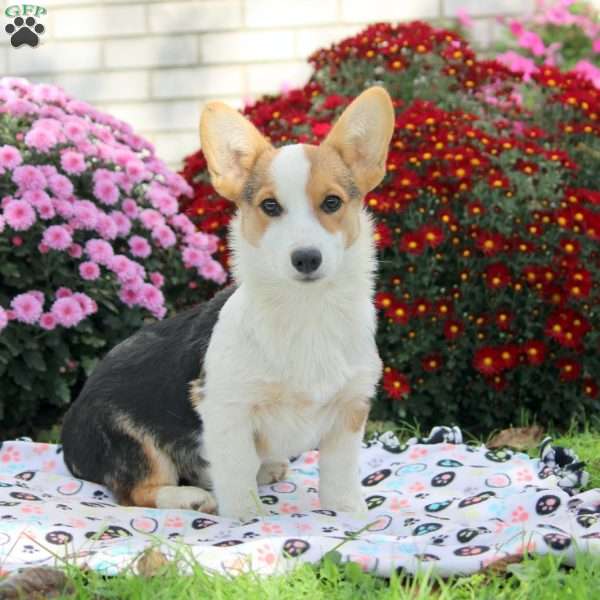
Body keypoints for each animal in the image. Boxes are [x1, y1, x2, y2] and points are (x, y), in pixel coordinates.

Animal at [62, 85, 394, 520]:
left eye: (332, 203)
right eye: (270, 206)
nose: (306, 258)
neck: (306, 310)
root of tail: (68, 436)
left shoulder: (349, 409)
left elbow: (339, 478)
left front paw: (348, 514)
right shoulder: (227, 409)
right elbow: (237, 476)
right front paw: (246, 520)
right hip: (132, 441)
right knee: (136, 492)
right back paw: (188, 497)